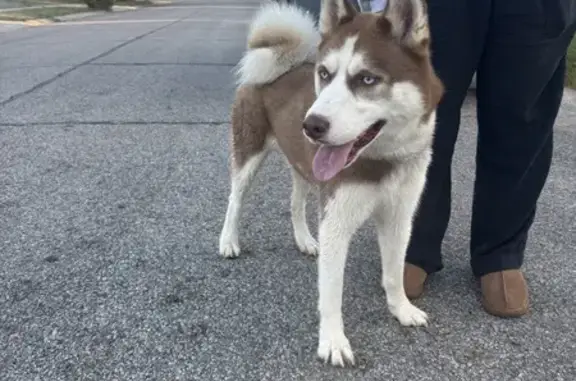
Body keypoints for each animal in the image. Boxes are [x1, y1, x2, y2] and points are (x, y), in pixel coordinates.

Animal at [218, 0, 444, 368]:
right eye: (324, 74)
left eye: (367, 78)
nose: (311, 125)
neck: (381, 160)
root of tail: (277, 64)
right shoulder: (337, 223)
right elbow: (331, 291)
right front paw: (334, 341)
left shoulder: (399, 218)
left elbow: (394, 272)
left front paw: (401, 309)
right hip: (248, 154)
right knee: (235, 200)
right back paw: (228, 241)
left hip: (304, 168)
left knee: (295, 203)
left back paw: (305, 240)